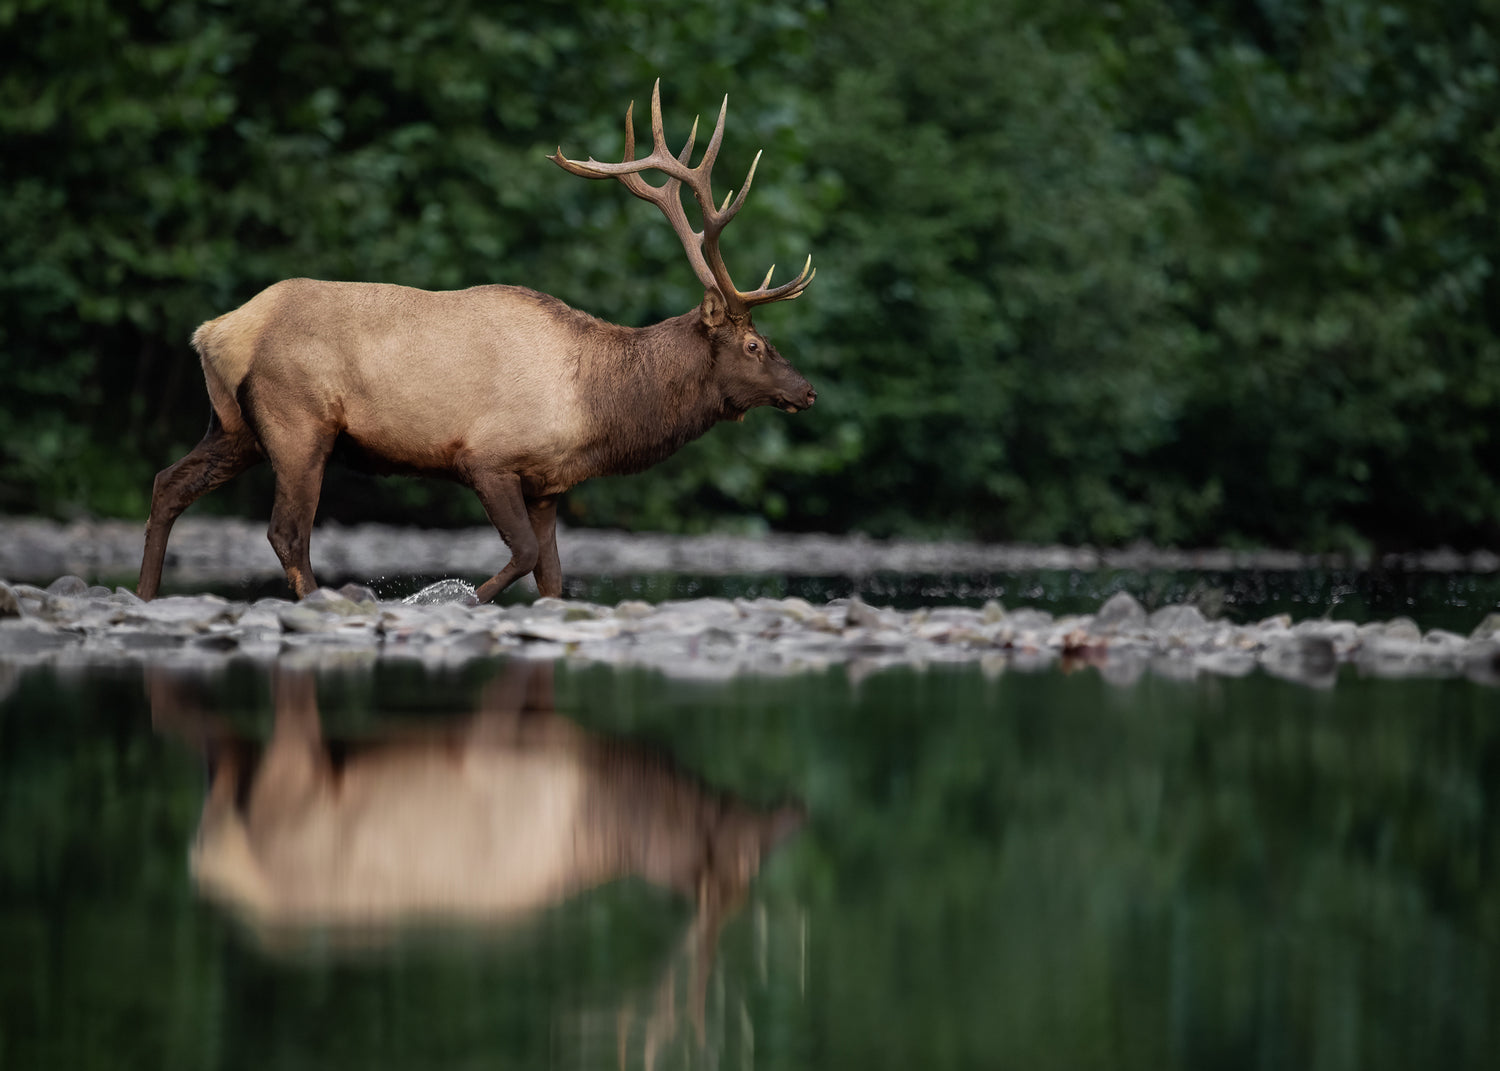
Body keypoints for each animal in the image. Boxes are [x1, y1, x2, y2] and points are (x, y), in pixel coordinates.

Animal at [136, 81, 816, 604]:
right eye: (754, 347)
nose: (807, 391)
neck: (597, 408)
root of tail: (217, 332)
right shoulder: (487, 457)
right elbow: (521, 557)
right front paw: (448, 600)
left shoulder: (547, 486)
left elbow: (553, 579)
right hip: (298, 422)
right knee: (286, 531)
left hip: (237, 429)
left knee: (168, 483)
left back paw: (145, 595)